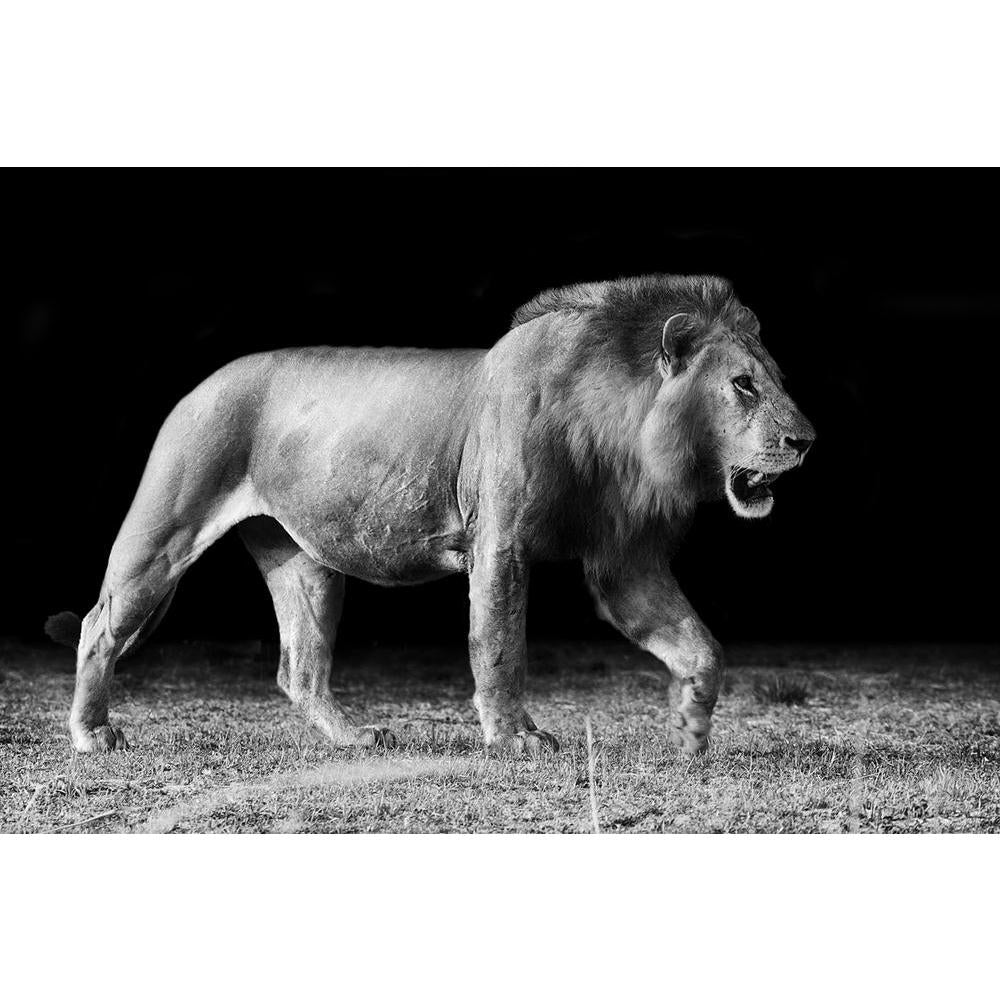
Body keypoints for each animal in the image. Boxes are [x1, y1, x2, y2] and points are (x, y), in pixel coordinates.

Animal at [47, 273, 814, 756]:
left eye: (775, 380)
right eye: (743, 386)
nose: (806, 440)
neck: (621, 427)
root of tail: (199, 384)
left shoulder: (625, 563)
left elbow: (702, 647)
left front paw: (690, 728)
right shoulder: (499, 540)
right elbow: (500, 644)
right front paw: (514, 739)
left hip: (307, 564)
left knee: (299, 670)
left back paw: (356, 738)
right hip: (164, 530)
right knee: (97, 626)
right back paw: (93, 735)